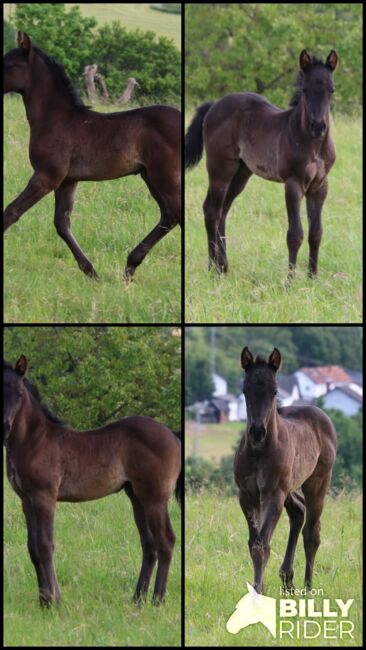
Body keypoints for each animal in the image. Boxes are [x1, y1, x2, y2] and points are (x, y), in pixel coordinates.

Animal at [2, 354, 180, 604]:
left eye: (19, 394)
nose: (4, 428)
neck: (34, 440)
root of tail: (173, 436)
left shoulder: (45, 496)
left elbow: (46, 545)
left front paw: (55, 600)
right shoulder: (26, 501)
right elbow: (33, 548)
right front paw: (44, 601)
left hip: (155, 498)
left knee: (166, 541)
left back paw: (157, 600)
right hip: (137, 497)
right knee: (149, 544)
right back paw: (137, 599)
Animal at [186, 48, 338, 276]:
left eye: (332, 90)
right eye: (304, 89)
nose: (318, 127)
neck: (312, 145)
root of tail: (215, 105)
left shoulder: (320, 186)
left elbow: (316, 233)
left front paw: (313, 277)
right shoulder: (293, 183)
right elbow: (295, 234)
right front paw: (290, 280)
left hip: (241, 173)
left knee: (222, 211)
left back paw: (223, 266)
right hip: (220, 168)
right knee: (212, 211)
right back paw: (213, 267)